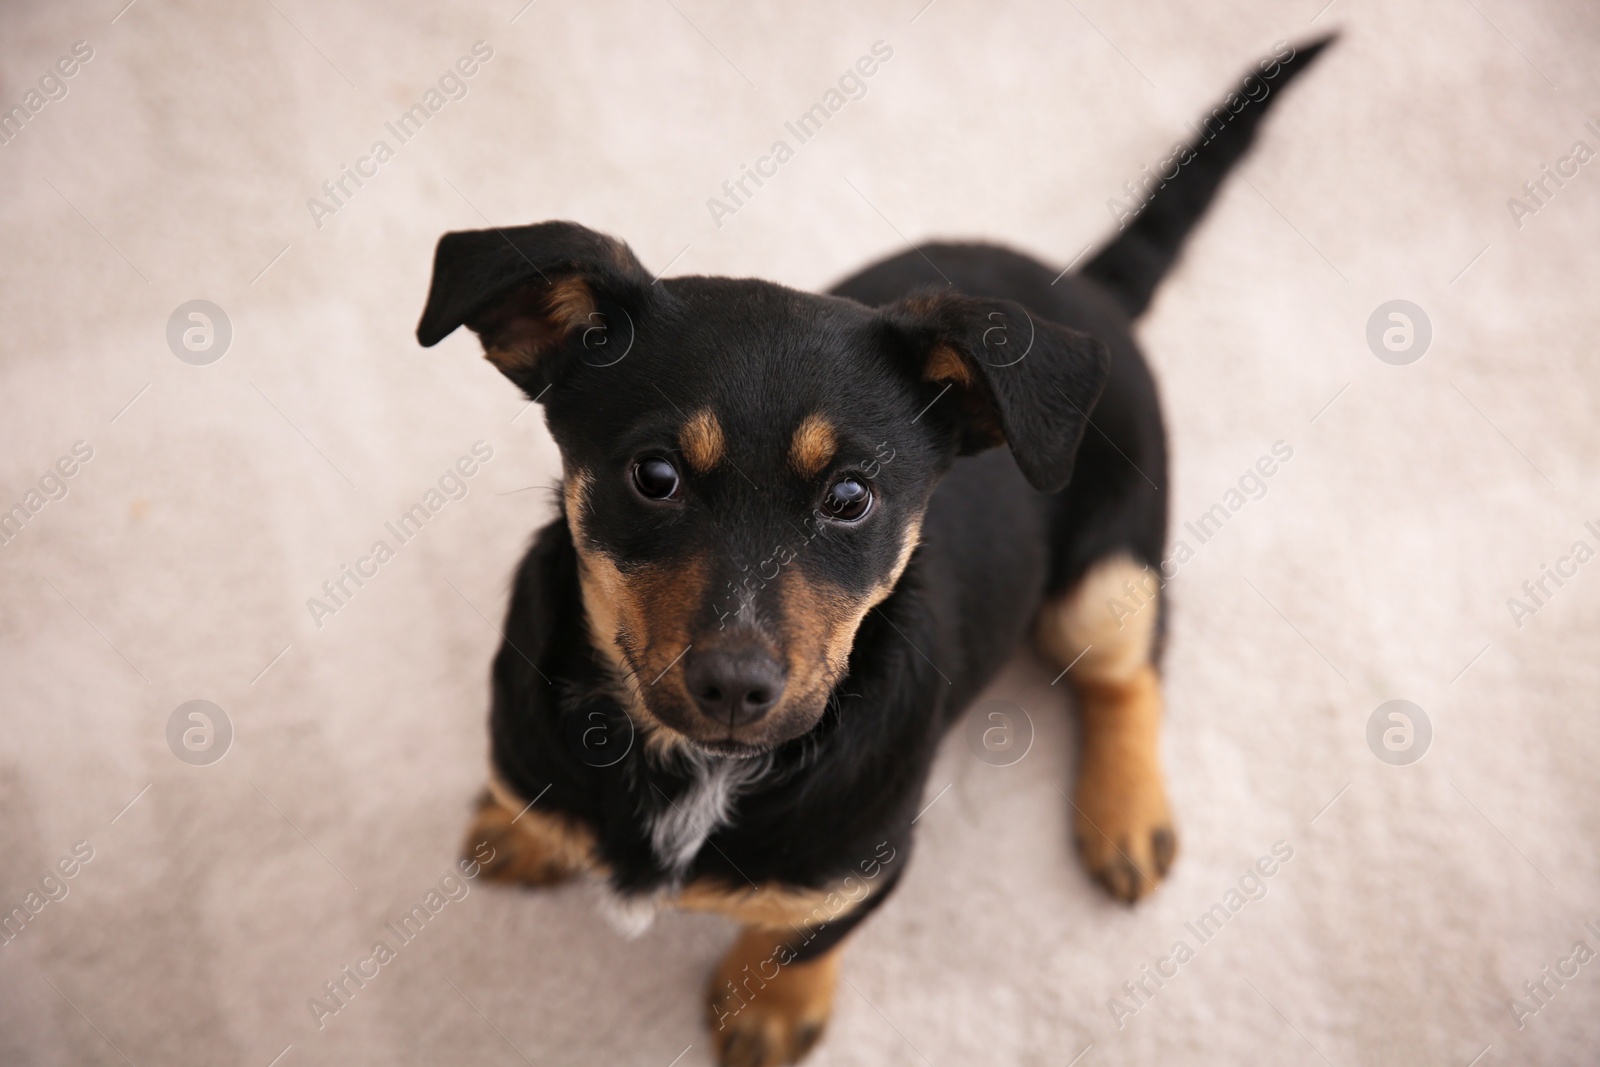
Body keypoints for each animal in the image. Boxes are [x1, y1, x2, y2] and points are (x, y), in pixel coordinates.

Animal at [419, 35, 1331, 1067]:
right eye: (654, 475)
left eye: (851, 498)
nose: (734, 686)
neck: (690, 766)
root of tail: (1084, 291)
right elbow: (529, 793)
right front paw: (521, 824)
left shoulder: (867, 866)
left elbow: (800, 935)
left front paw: (769, 1009)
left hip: (1103, 580)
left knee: (1125, 676)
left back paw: (1125, 812)